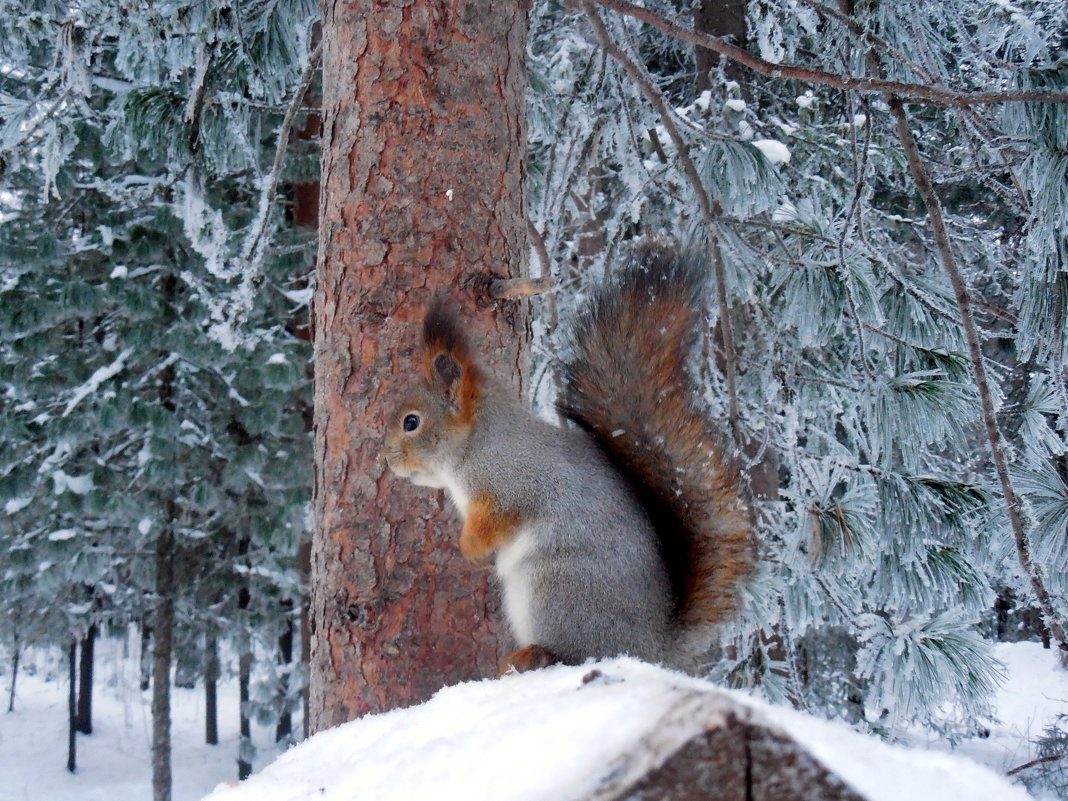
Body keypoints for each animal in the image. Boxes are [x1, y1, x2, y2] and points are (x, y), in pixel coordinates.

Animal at [388, 241, 756, 674]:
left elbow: (498, 519)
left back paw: (533, 654)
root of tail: (652, 649)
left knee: (574, 653)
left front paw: (471, 549)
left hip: (555, 591)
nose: (388, 460)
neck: (477, 446)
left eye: (411, 422)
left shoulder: (514, 483)